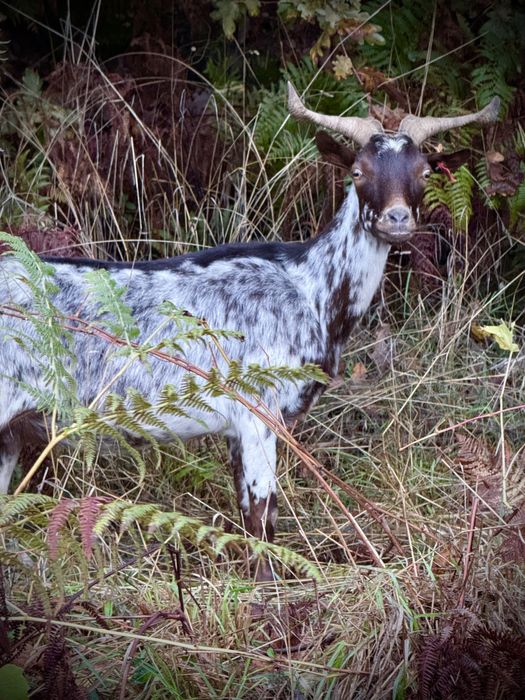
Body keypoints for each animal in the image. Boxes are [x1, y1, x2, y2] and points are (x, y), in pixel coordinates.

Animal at [0, 86, 499, 578]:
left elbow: (246, 513)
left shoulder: (238, 429)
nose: (396, 220)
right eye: (358, 171)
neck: (310, 290)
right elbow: (263, 516)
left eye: (423, 171)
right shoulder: (258, 410)